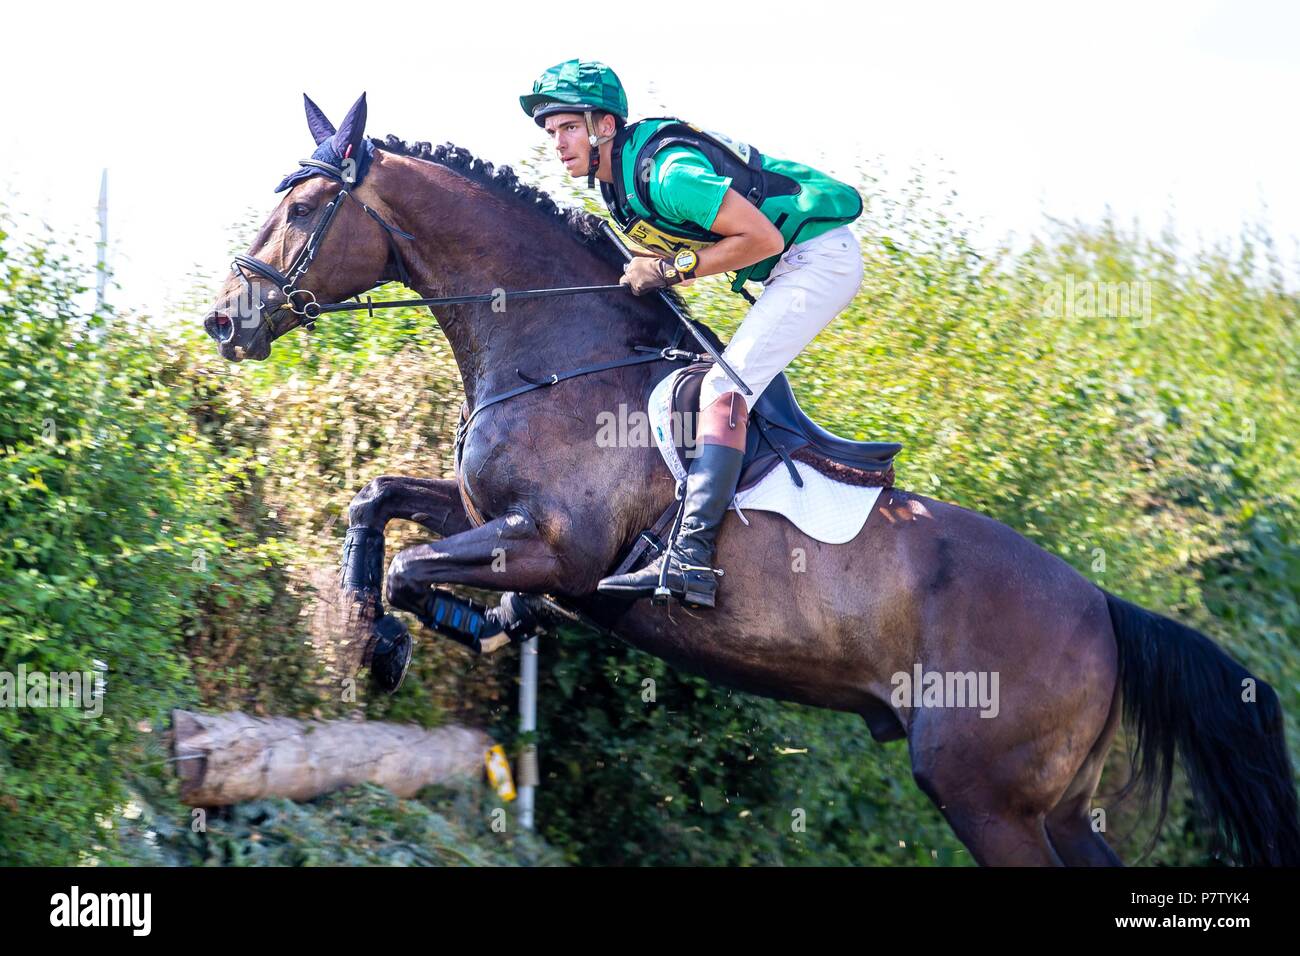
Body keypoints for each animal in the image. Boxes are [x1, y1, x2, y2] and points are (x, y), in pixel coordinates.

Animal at [202, 95, 1300, 868]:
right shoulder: (488, 512)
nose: (224, 321)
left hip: (983, 792)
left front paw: (410, 637)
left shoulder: (553, 546)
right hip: (1052, 803)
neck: (558, 348)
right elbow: (377, 501)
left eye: (304, 205)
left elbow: (418, 566)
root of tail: (1104, 610)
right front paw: (401, 624)